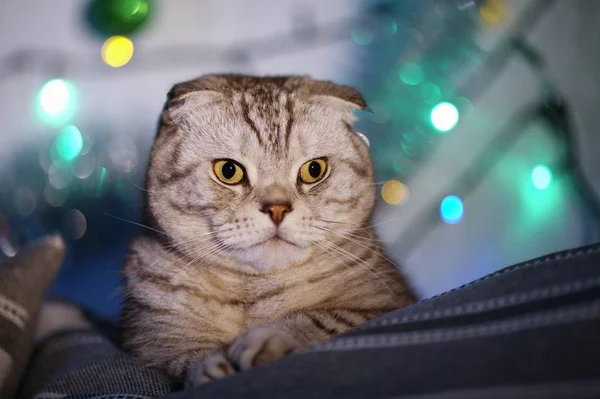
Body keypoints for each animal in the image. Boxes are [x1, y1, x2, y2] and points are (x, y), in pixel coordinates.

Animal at [119, 75, 414, 388]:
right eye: (228, 171)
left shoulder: (389, 304)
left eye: (314, 169)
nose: (277, 209)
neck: (254, 292)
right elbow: (185, 357)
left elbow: (325, 319)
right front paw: (213, 366)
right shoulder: (149, 339)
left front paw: (267, 339)